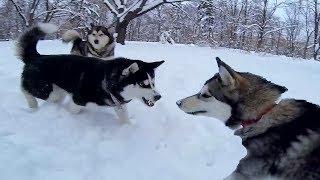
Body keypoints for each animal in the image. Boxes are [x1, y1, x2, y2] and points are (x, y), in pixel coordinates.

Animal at [16, 23, 164, 122]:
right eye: (142, 84)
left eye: (153, 83)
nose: (158, 97)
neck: (106, 80)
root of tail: (37, 57)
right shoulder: (77, 100)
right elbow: (74, 111)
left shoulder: (118, 104)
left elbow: (125, 119)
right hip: (44, 90)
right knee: (26, 90)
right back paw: (33, 105)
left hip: (57, 92)